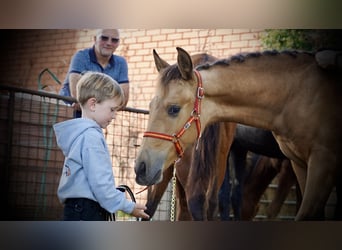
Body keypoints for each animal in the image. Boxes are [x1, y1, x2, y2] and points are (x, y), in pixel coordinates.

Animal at [136, 46, 342, 219]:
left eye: (174, 109)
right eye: (150, 106)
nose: (140, 167)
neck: (296, 94)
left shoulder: (322, 162)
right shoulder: (298, 164)